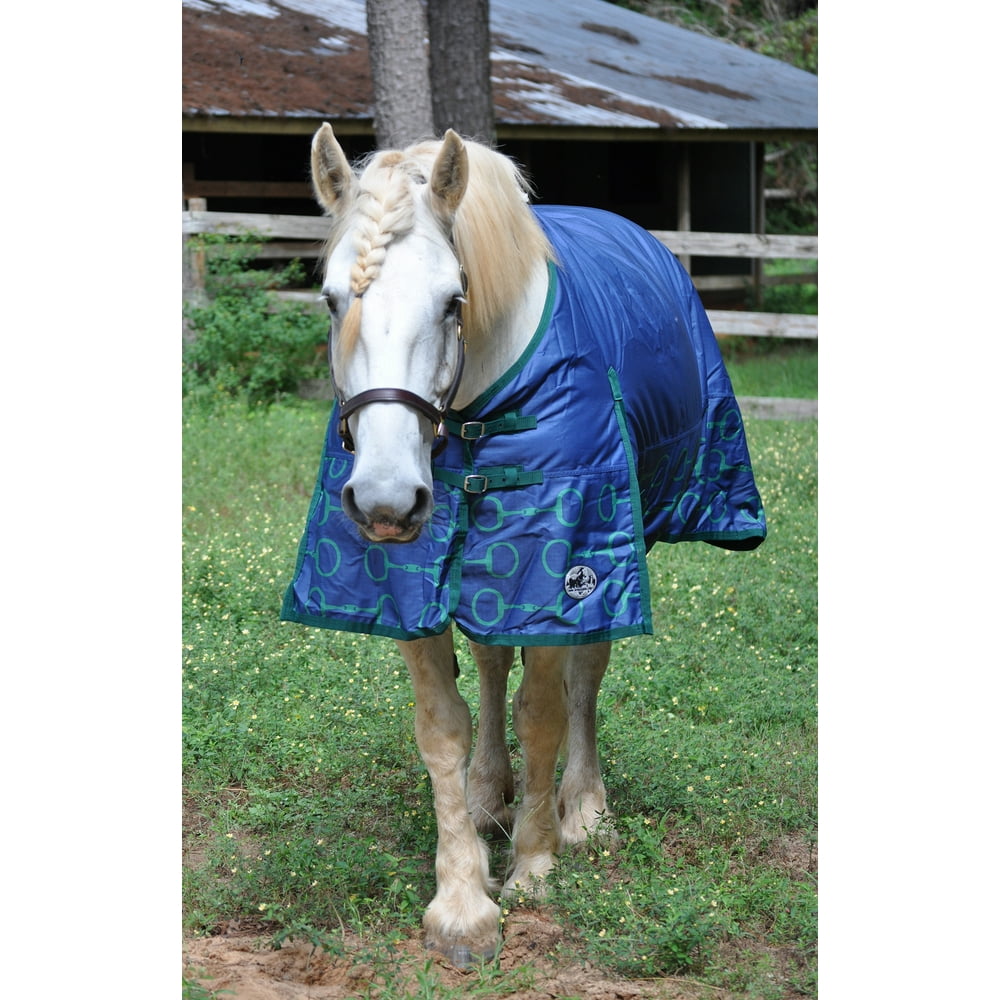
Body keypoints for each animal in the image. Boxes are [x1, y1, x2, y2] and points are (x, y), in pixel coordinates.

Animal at [282, 124, 766, 967]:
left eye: (453, 300)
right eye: (332, 299)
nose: (384, 500)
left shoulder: (556, 562)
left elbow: (544, 712)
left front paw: (535, 865)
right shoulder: (410, 581)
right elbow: (443, 727)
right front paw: (462, 899)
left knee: (585, 678)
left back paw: (586, 811)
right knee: (489, 660)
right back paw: (488, 794)